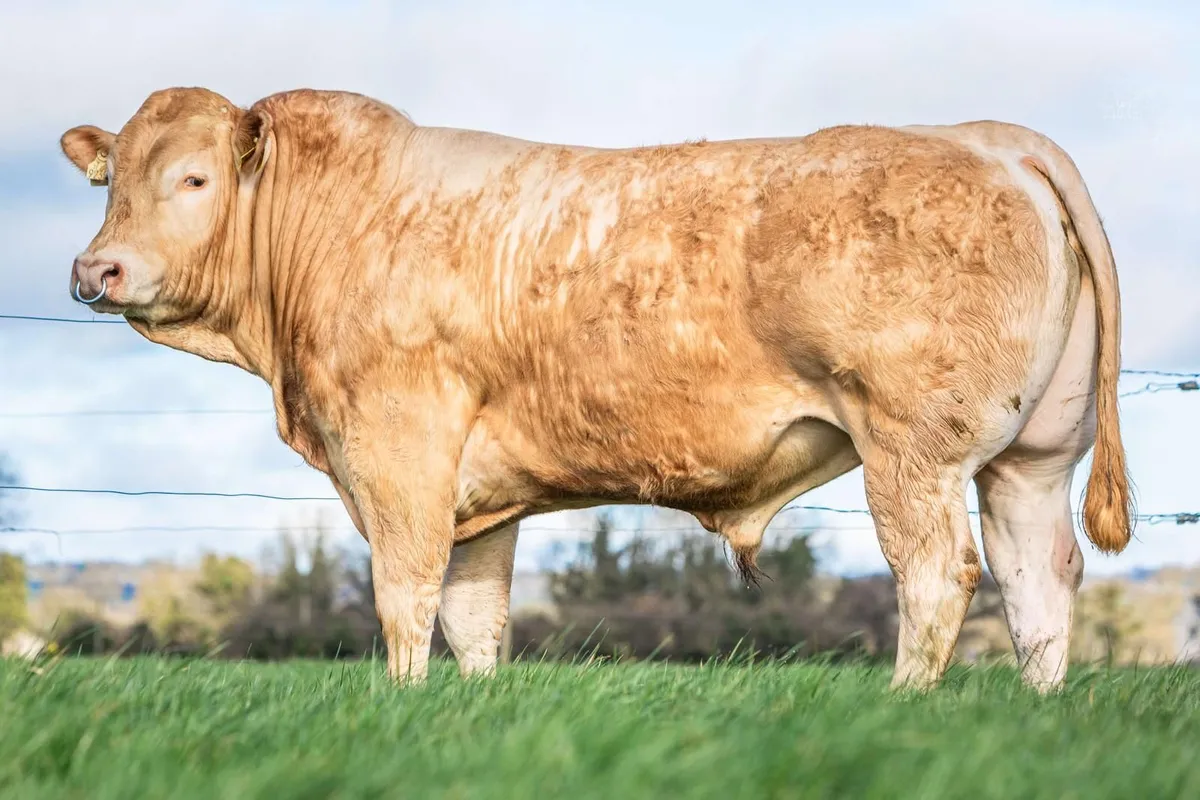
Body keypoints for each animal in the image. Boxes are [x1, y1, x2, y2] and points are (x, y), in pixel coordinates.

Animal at [58, 87, 1132, 692]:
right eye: (110, 182)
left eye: (194, 180)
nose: (95, 268)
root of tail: (992, 135)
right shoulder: (479, 497)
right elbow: (474, 619)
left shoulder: (398, 452)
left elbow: (405, 596)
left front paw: (399, 704)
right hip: (1032, 458)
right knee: (1041, 579)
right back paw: (1037, 712)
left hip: (913, 450)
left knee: (939, 574)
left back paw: (906, 702)